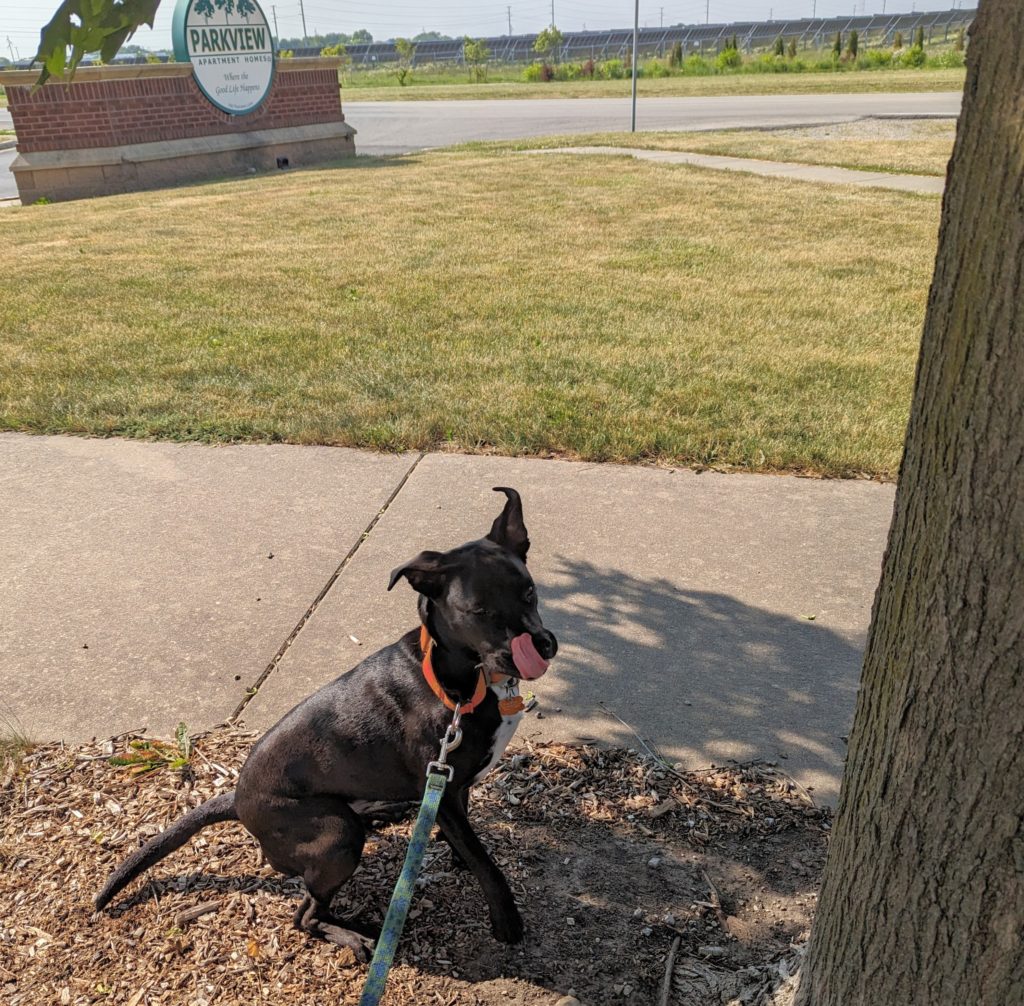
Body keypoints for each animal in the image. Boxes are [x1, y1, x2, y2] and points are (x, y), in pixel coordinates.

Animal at [94, 487, 561, 958]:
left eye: (528, 591)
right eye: (478, 610)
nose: (543, 645)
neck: (461, 682)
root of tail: (238, 799)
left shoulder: (451, 786)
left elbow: (466, 839)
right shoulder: (442, 787)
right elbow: (486, 863)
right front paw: (506, 919)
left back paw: (384, 810)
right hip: (337, 837)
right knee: (305, 916)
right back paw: (353, 934)